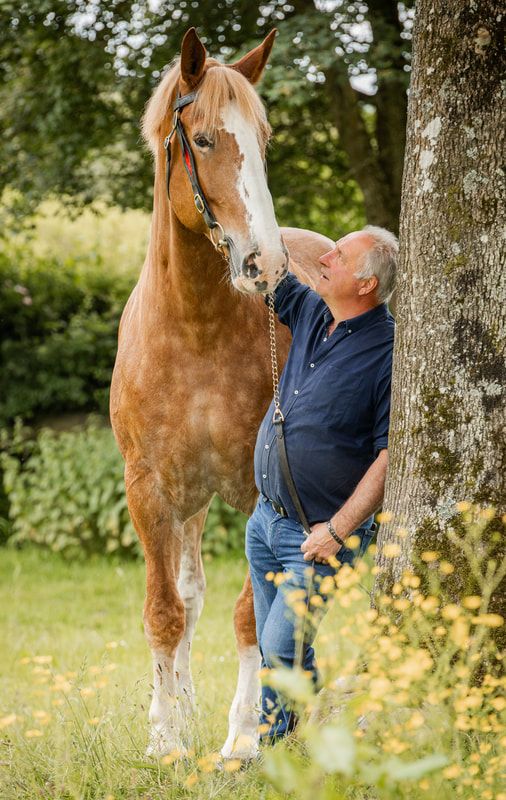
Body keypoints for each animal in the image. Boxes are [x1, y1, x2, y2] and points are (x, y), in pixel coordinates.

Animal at [110, 26, 333, 760]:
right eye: (203, 140)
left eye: (263, 140)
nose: (265, 263)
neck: (195, 327)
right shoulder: (150, 489)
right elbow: (166, 610)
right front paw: (164, 735)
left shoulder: (263, 491)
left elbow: (250, 616)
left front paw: (243, 735)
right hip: (188, 501)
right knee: (189, 595)